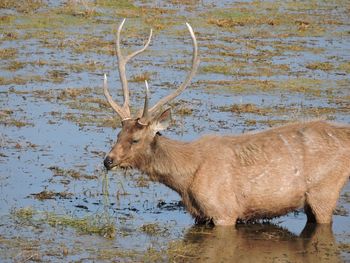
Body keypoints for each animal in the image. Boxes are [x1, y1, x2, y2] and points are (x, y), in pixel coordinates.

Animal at [102, 18, 350, 227]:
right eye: (118, 134)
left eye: (135, 139)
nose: (107, 160)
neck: (185, 180)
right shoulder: (200, 216)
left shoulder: (225, 211)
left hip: (324, 190)